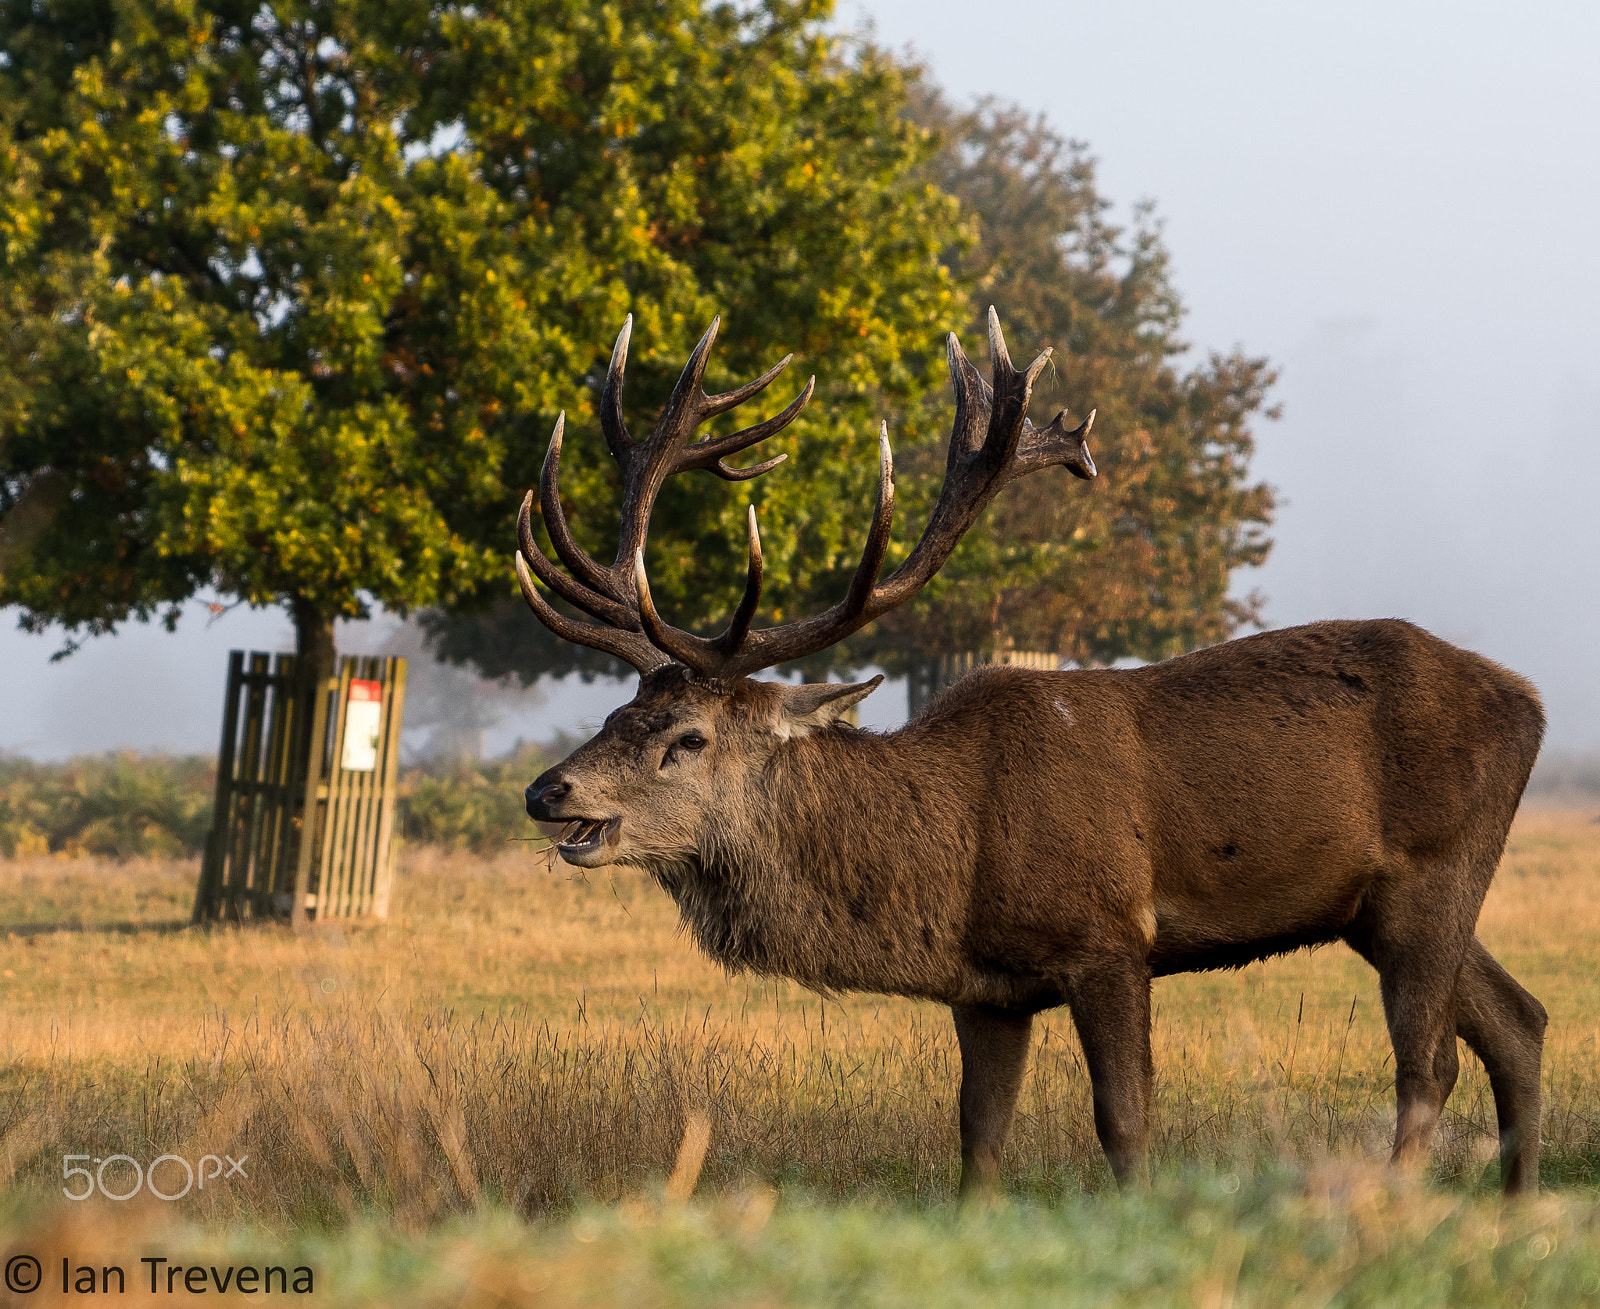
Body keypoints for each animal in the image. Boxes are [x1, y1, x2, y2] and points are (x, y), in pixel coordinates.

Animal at [515, 310, 1549, 1198]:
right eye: (616, 711)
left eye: (687, 738)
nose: (546, 791)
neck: (957, 860)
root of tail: (1531, 701)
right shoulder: (988, 991)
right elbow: (977, 1139)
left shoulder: (1110, 935)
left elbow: (1124, 1122)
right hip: (1378, 905)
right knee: (1520, 1021)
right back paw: (1515, 1205)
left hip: (1435, 870)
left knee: (1430, 1064)